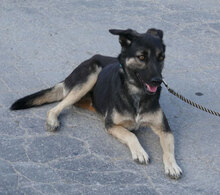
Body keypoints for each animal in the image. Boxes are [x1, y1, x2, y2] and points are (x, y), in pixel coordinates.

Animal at [10, 28, 182, 179]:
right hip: (91, 75)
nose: (158, 81)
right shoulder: (111, 125)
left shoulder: (164, 129)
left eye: (161, 58)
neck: (137, 93)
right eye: (141, 57)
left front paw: (172, 165)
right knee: (57, 106)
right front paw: (140, 151)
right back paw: (53, 120)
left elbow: (169, 150)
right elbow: (131, 135)